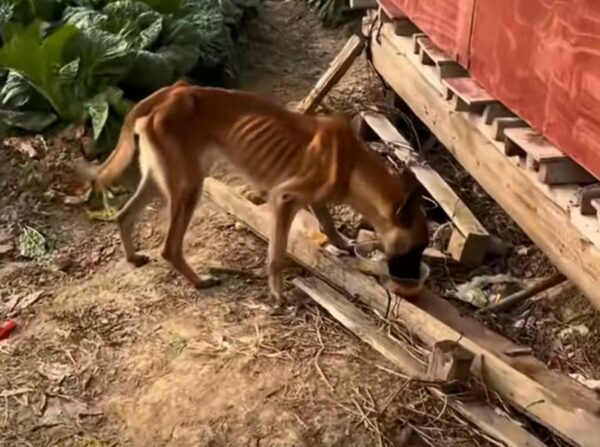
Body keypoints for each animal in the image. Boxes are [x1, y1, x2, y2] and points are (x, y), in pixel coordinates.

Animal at [84, 82, 428, 302]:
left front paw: (342, 243)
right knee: (169, 248)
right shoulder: (284, 200)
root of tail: (169, 92)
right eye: (416, 247)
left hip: (159, 178)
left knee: (124, 215)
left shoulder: (314, 200)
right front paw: (277, 294)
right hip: (189, 186)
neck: (353, 163)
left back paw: (133, 257)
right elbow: (276, 256)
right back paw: (200, 281)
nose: (411, 281)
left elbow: (328, 223)